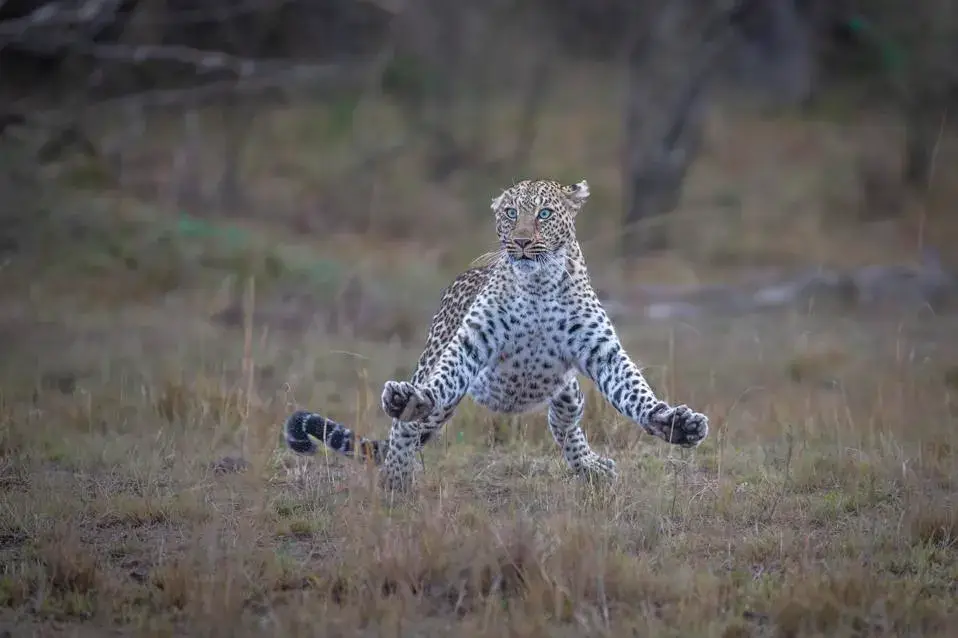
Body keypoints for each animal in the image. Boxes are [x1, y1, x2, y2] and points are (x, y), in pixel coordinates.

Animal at [283, 178, 709, 491]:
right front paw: (411, 403)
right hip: (437, 371)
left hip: (567, 391)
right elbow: (441, 380)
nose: (520, 241)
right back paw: (396, 476)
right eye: (510, 213)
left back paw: (590, 468)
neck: (538, 285)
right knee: (406, 427)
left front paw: (675, 423)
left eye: (544, 213)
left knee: (563, 423)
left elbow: (635, 391)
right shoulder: (470, 343)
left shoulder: (602, 352)